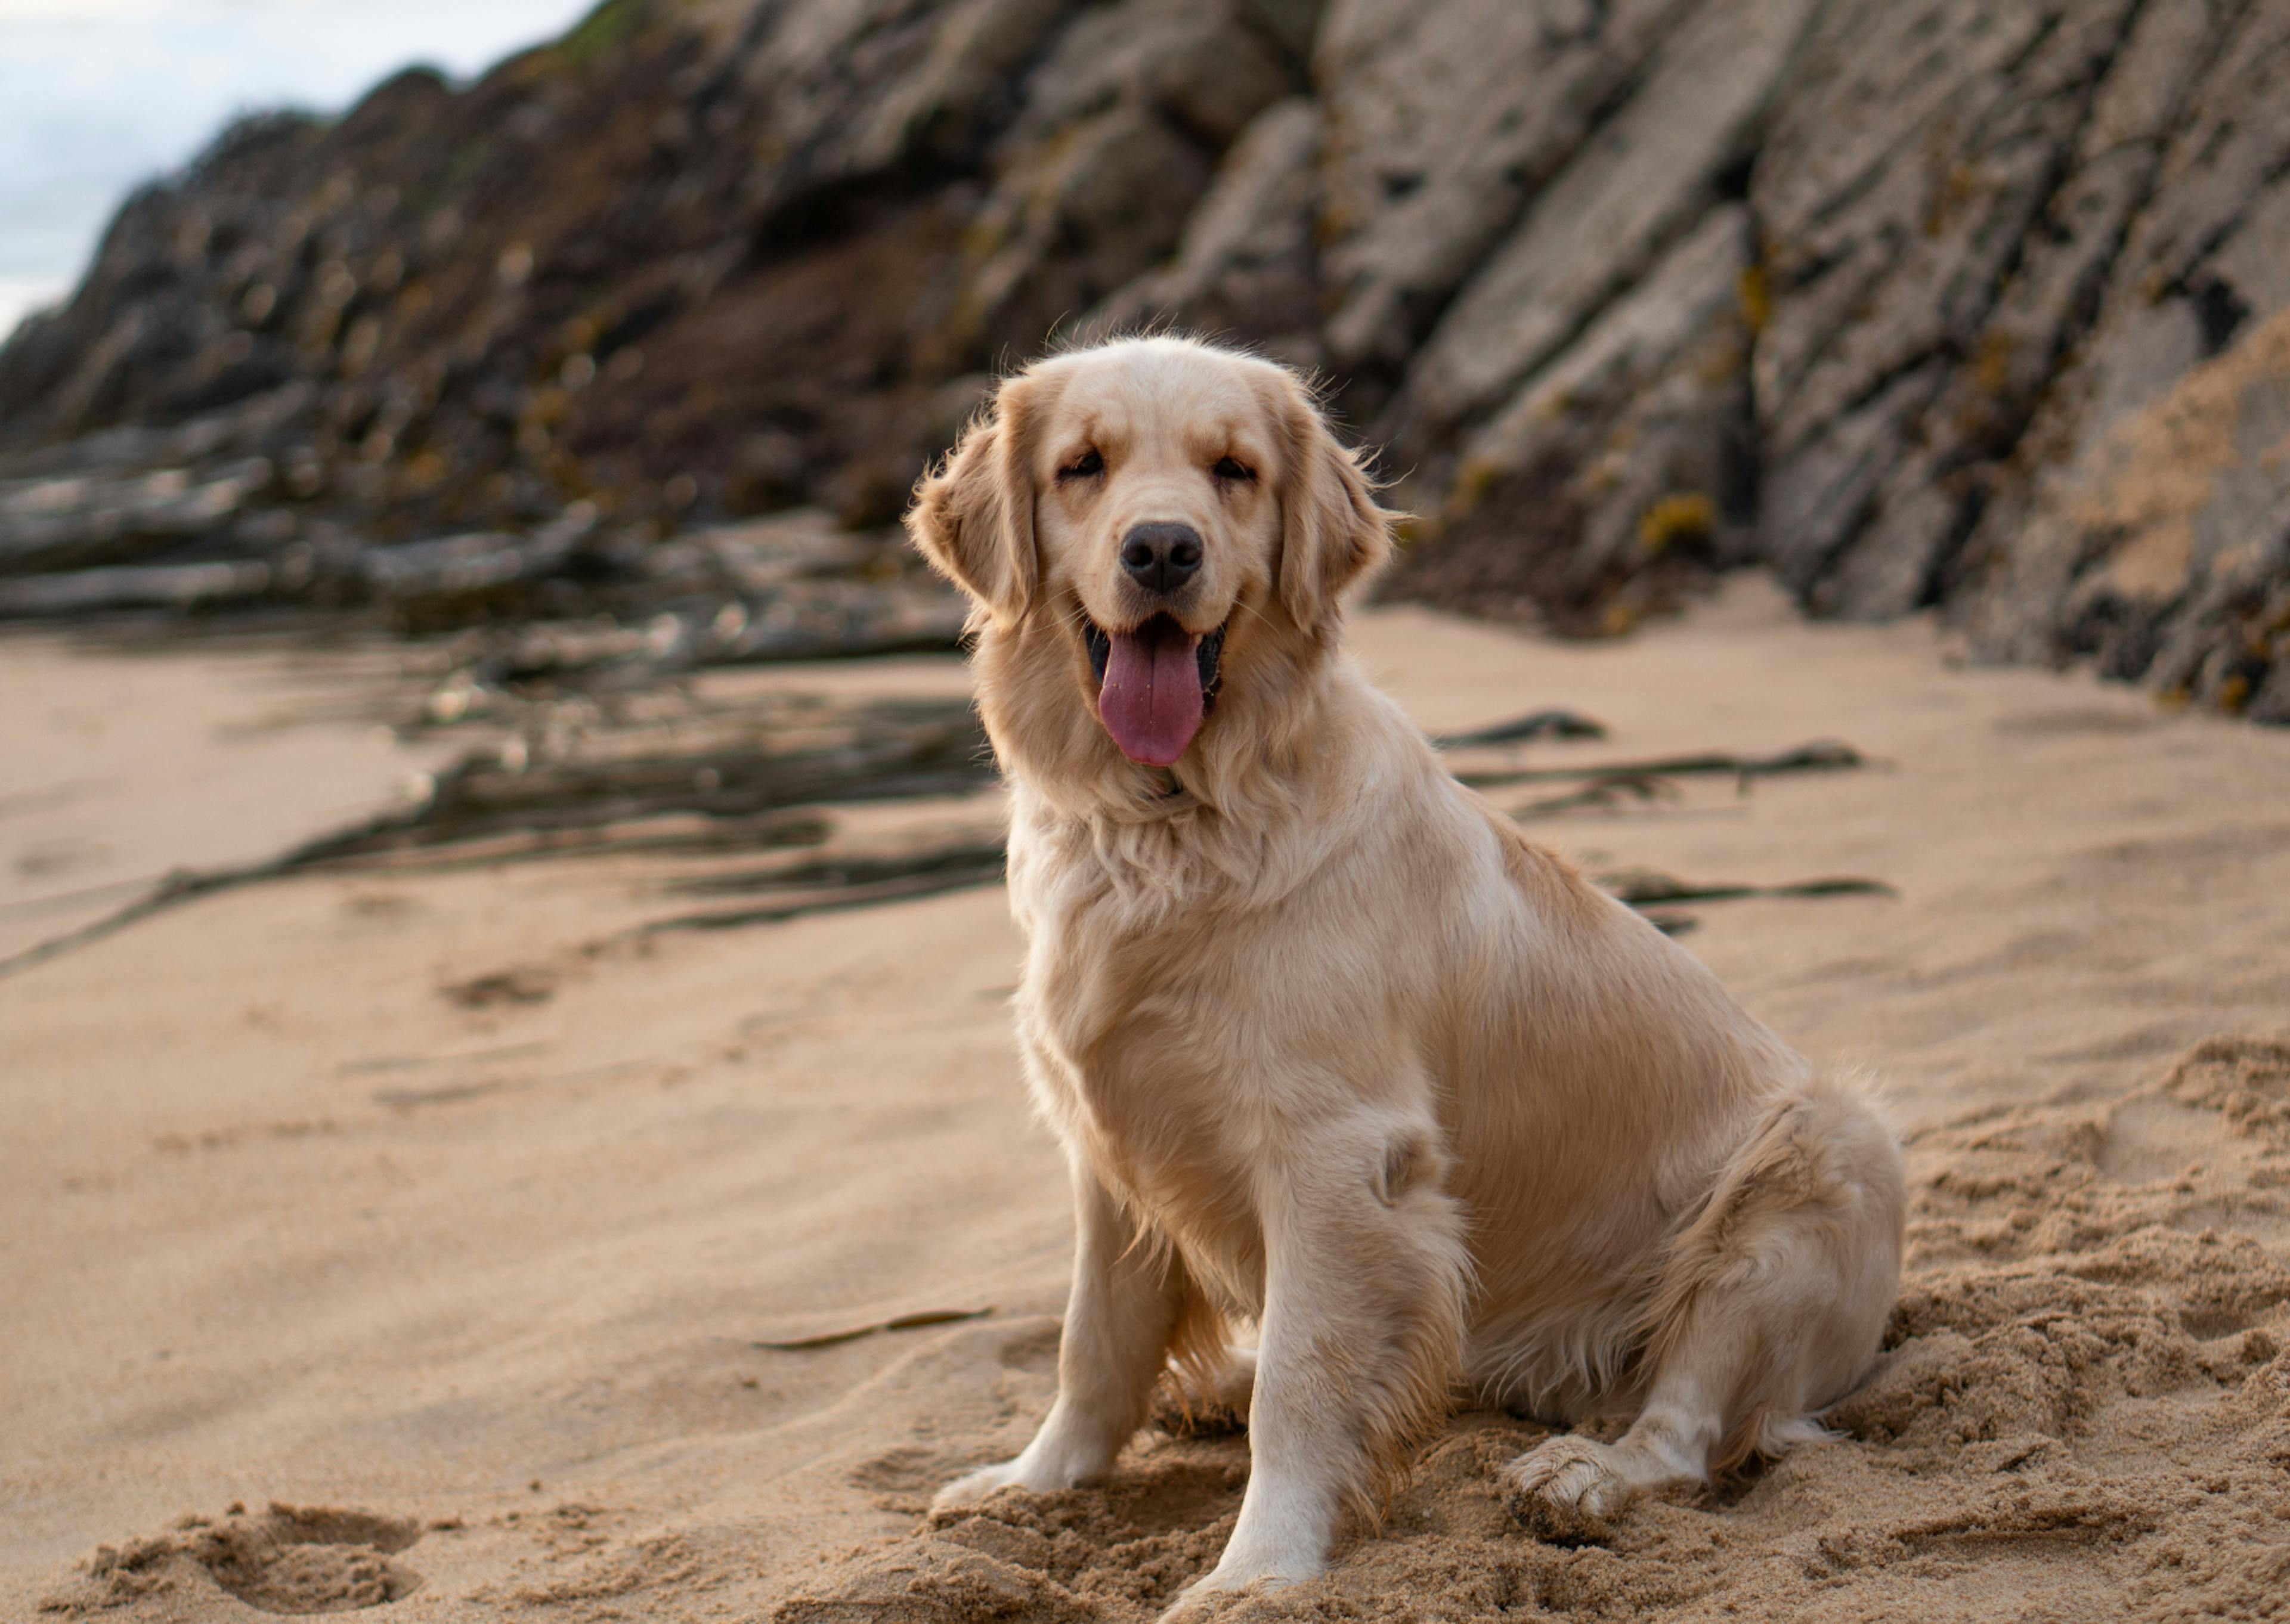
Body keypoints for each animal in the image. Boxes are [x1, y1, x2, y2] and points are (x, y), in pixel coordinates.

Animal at [902, 339, 1905, 1612]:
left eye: (1234, 471)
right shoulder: (1108, 1134)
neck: (1175, 819)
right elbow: (1095, 1341)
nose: (1163, 550)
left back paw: (1582, 1474)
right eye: (1083, 465)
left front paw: (1259, 1566)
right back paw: (1215, 1382)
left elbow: (1303, 1380)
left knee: (1683, 1428)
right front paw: (1035, 1480)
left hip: (1812, 1176)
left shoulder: (1338, 1156)